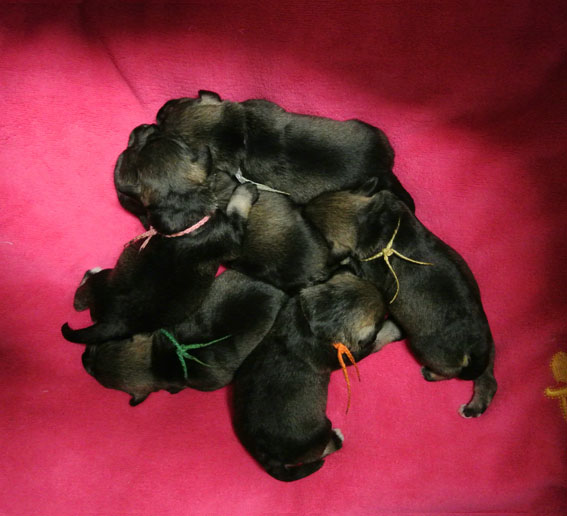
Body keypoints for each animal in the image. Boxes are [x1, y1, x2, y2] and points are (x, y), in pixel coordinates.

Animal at [61, 180, 258, 344]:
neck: (187, 227)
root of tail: (113, 323)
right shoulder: (231, 238)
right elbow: (237, 209)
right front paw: (247, 190)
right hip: (103, 279)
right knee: (81, 295)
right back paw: (90, 272)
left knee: (80, 301)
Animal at [232, 271, 403, 482]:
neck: (312, 322)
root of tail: (264, 454)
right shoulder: (353, 353)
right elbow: (379, 339)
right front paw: (394, 327)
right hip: (320, 432)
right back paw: (337, 439)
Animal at [305, 190, 497, 418]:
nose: (302, 207)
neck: (368, 221)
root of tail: (476, 345)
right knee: (488, 381)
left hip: (423, 348)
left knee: (450, 372)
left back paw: (431, 374)